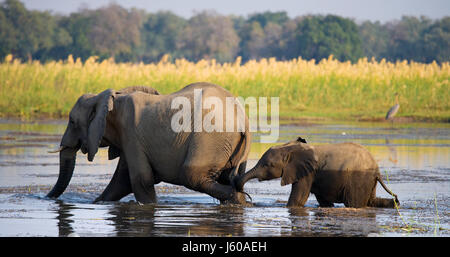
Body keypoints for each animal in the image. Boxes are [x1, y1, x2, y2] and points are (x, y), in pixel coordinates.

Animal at [47, 82, 251, 204]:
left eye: (72, 121)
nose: (47, 198)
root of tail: (241, 115)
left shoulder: (131, 134)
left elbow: (140, 179)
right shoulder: (128, 138)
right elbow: (121, 181)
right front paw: (98, 202)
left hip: (210, 138)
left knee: (191, 175)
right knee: (228, 179)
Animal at [234, 137, 400, 207]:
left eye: (268, 164)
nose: (250, 201)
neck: (290, 148)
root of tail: (377, 170)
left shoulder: (307, 174)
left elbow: (298, 200)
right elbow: (324, 202)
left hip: (358, 179)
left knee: (355, 203)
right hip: (367, 180)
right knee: (372, 202)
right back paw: (395, 204)